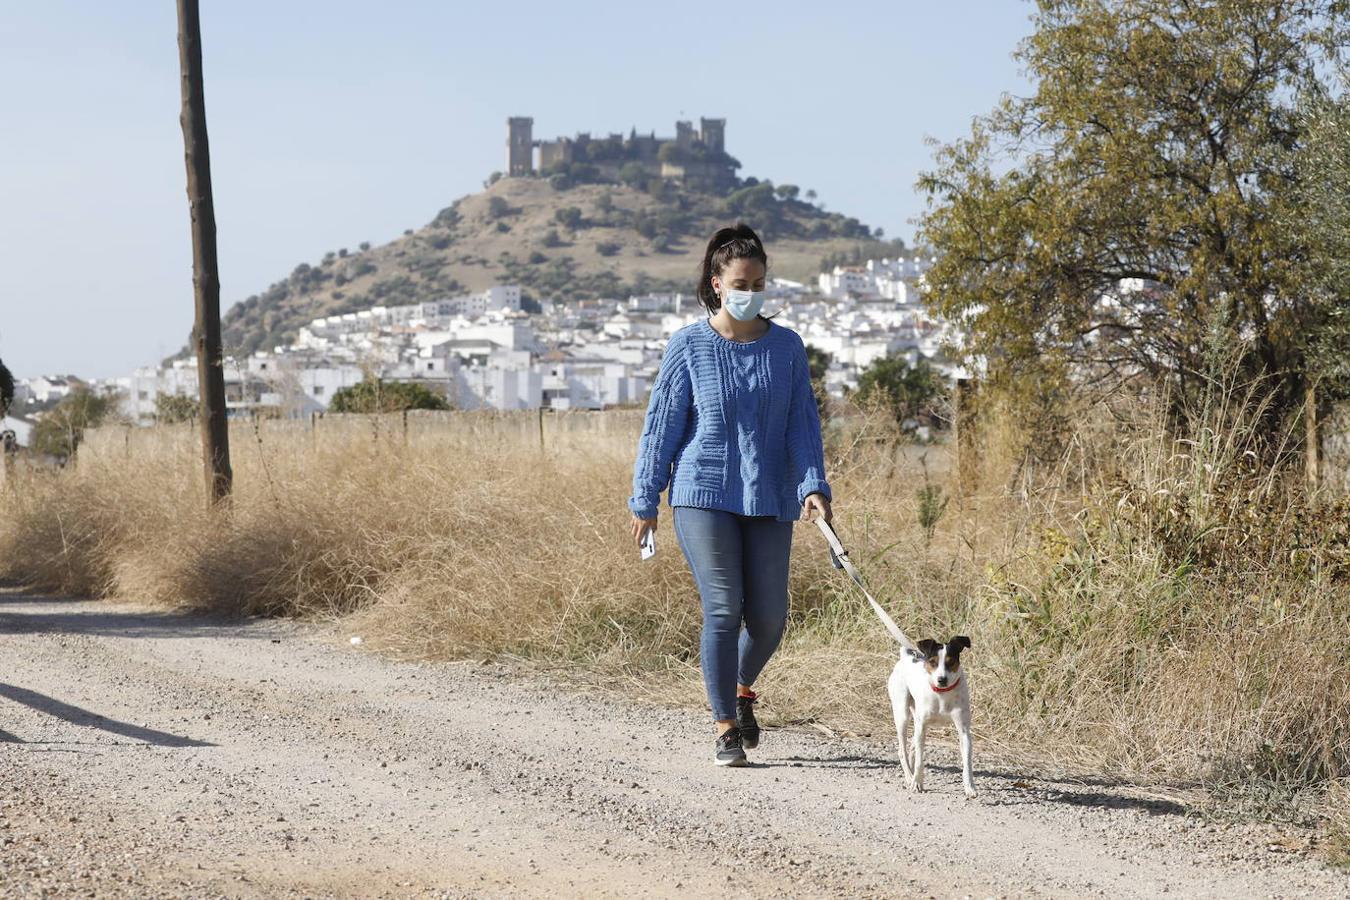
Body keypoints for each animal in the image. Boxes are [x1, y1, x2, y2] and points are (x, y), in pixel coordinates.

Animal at [885, 636, 972, 798]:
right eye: (932, 662)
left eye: (951, 662)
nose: (942, 679)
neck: (942, 694)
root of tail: (905, 657)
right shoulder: (921, 726)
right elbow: (920, 761)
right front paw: (917, 784)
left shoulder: (964, 730)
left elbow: (967, 763)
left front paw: (970, 788)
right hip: (902, 715)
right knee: (903, 751)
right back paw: (909, 777)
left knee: (912, 748)